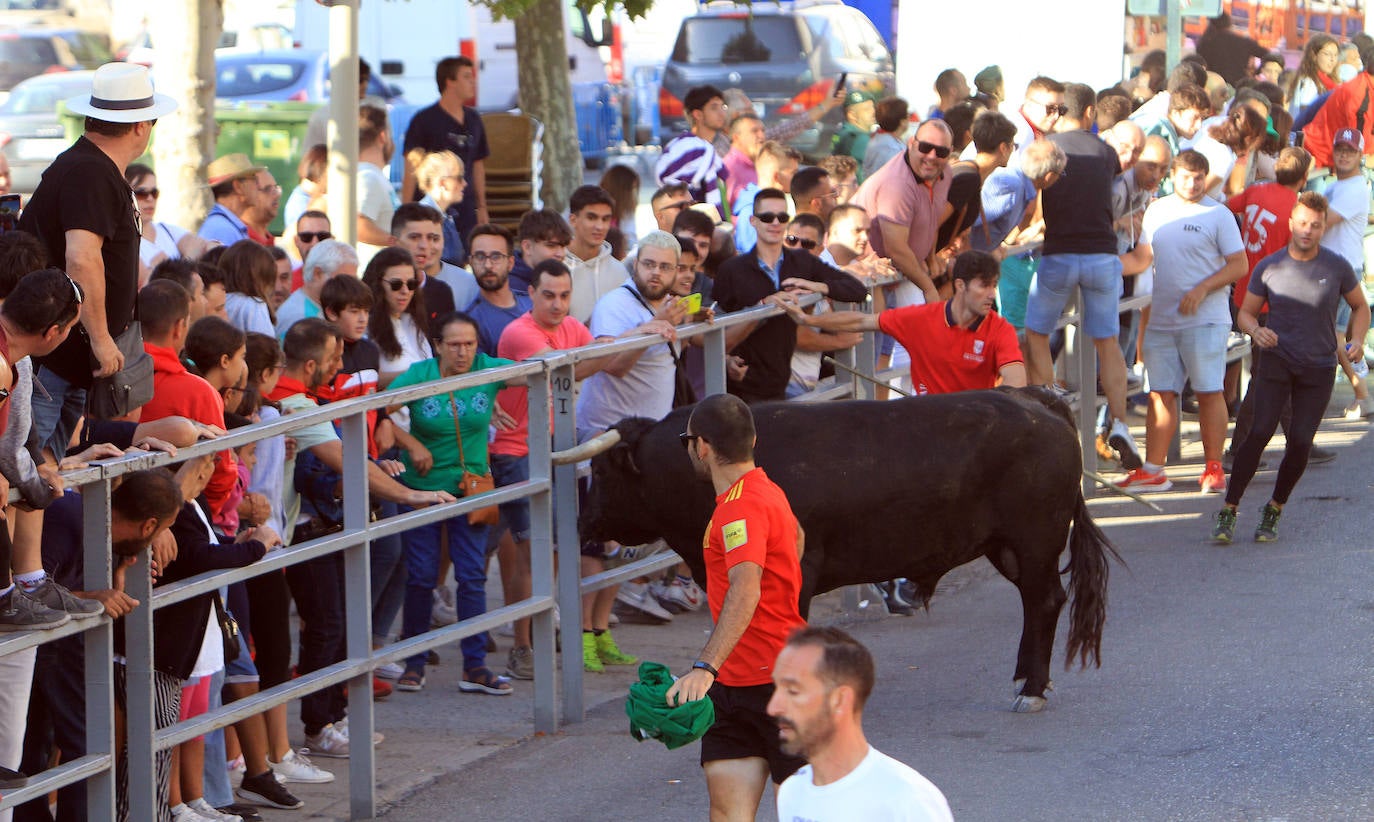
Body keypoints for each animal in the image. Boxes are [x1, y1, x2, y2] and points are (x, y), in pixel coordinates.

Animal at [574, 387, 1121, 709]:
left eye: (599, 472)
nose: (583, 524)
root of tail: (1034, 398)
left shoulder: (797, 574)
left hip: (1034, 539)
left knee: (1045, 601)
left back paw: (1032, 689)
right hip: (1007, 545)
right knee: (1036, 603)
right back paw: (1026, 678)